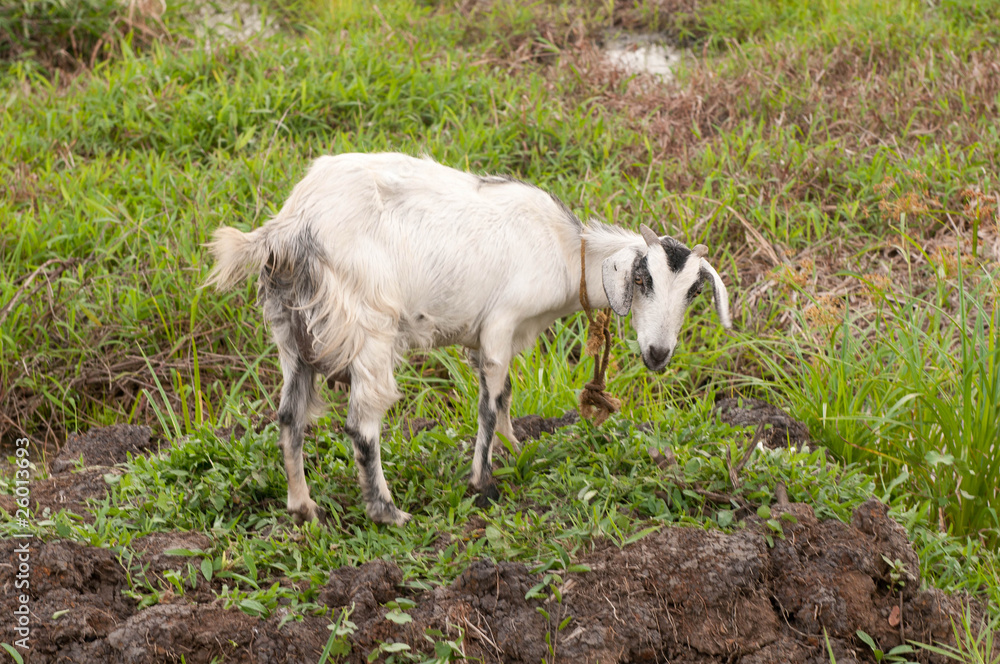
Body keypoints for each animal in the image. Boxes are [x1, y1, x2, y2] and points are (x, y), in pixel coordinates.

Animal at [205, 152, 732, 526]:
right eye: (643, 280)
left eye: (694, 292)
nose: (658, 354)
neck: (567, 252)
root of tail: (291, 226)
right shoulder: (501, 321)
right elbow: (488, 403)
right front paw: (484, 482)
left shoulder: (495, 336)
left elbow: (504, 392)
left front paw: (516, 447)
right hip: (369, 322)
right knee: (362, 424)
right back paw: (388, 512)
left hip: (293, 331)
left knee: (289, 416)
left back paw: (303, 507)